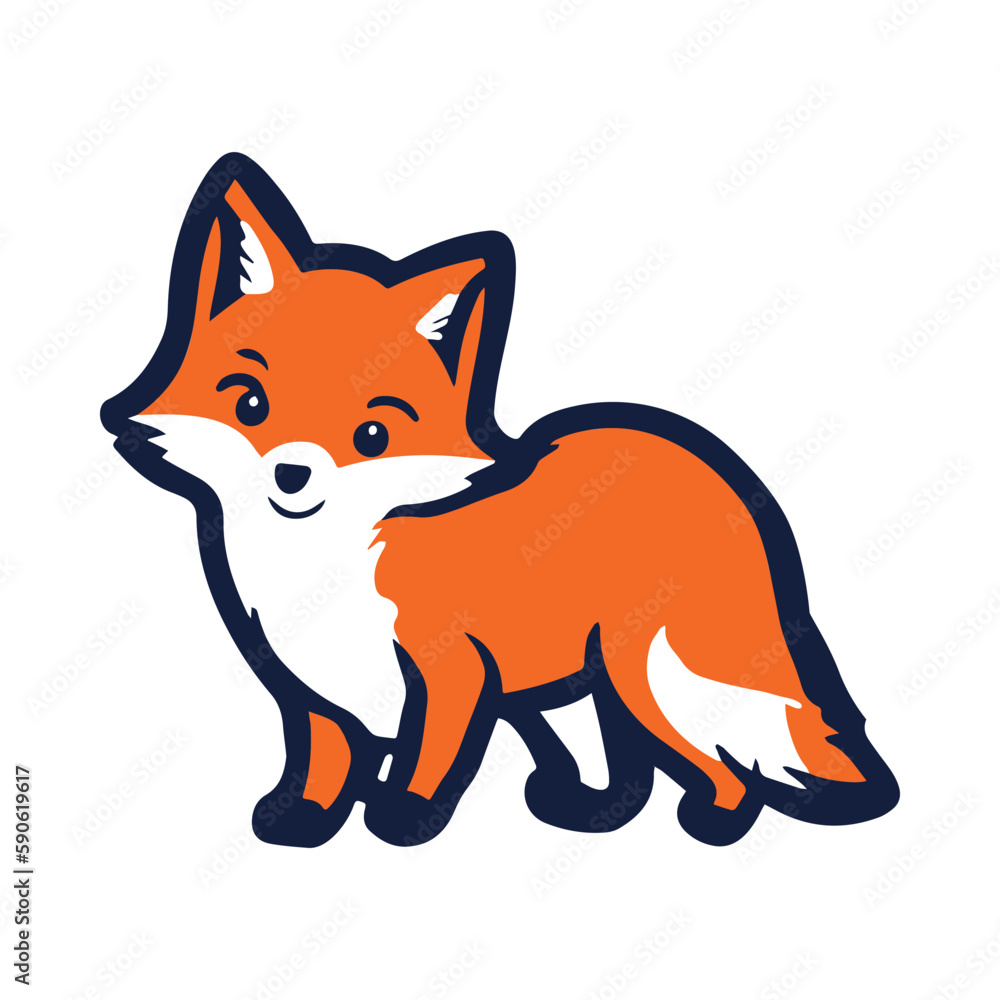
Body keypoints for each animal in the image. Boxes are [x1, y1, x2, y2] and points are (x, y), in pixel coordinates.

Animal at [102, 153, 899, 849]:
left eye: (371, 434)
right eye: (250, 404)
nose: (292, 475)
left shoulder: (447, 669)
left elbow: (425, 759)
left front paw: (402, 819)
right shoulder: (315, 694)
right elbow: (325, 762)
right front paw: (303, 820)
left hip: (643, 671)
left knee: (712, 762)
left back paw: (711, 820)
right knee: (621, 769)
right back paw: (585, 809)